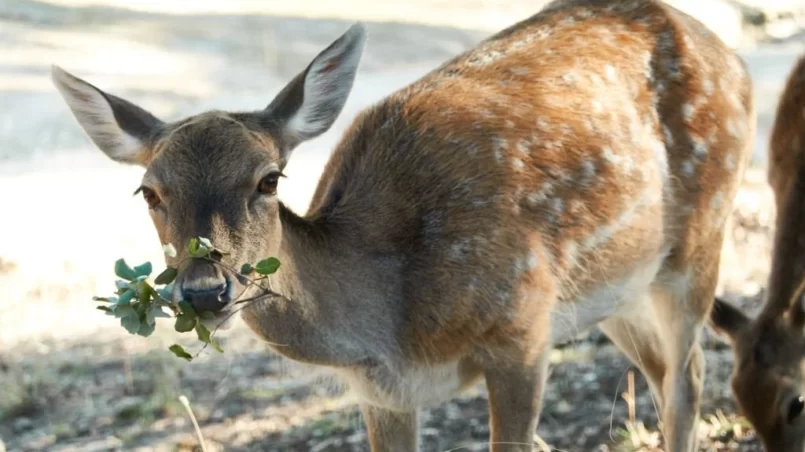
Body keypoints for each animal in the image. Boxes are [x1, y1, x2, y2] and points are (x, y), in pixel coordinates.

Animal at [50, 0, 752, 450]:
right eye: (148, 191)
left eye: (269, 179)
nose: (203, 291)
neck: (394, 329)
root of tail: (731, 55)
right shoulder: (382, 394)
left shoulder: (522, 328)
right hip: (614, 290)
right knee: (662, 371)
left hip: (700, 237)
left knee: (691, 374)